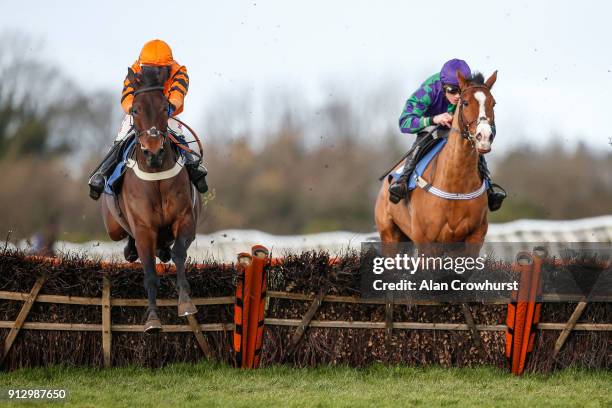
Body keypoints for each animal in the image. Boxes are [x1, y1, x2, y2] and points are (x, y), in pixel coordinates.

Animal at [101, 64, 201, 332]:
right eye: (135, 109)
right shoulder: (144, 228)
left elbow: (179, 253)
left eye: (165, 107)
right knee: (127, 239)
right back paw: (131, 250)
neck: (156, 176)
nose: (153, 152)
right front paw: (153, 318)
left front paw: (185, 301)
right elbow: (149, 271)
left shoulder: (185, 218)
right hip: (113, 228)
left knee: (166, 250)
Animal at [372, 70, 498, 249]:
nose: (485, 136)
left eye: (493, 104)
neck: (456, 185)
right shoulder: (426, 240)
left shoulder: (474, 237)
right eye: (465, 102)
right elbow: (406, 118)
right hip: (390, 235)